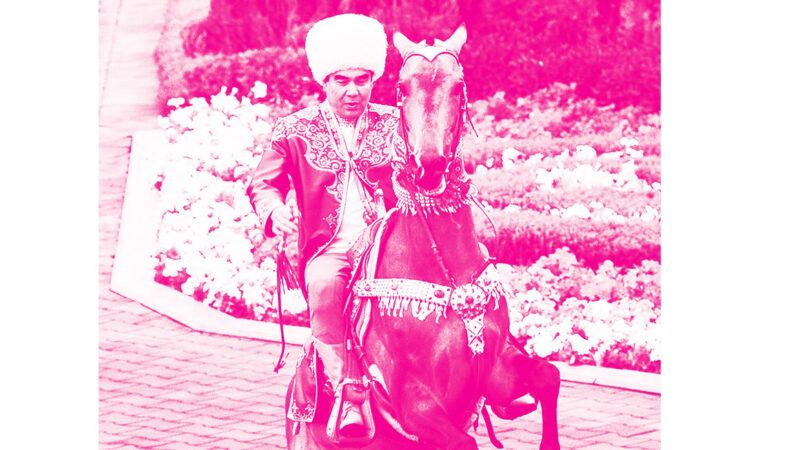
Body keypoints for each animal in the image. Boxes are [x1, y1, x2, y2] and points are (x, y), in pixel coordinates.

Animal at [288, 25, 564, 450]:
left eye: (458, 86)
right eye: (402, 88)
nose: (430, 165)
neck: (443, 267)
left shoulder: (495, 371)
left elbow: (548, 376)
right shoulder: (415, 406)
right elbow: (463, 441)